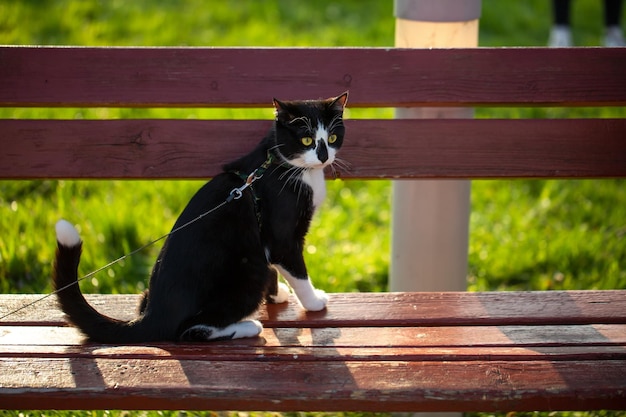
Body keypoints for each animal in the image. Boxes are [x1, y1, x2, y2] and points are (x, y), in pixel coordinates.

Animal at [52, 91, 346, 342]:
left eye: (332, 138)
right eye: (307, 140)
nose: (323, 157)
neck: (281, 164)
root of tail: (154, 316)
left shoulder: (266, 238)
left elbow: (276, 268)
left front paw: (276, 295)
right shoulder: (281, 237)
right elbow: (296, 271)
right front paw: (314, 302)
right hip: (248, 271)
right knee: (188, 330)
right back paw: (248, 326)